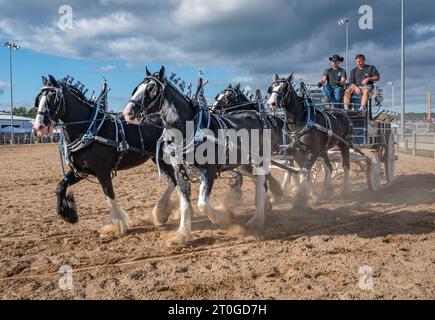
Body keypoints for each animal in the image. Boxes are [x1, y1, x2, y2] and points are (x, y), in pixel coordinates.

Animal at [31, 75, 179, 235]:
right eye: (38, 100)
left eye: (53, 98)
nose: (38, 127)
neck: (88, 129)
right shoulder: (81, 170)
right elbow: (60, 186)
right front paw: (69, 215)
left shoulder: (102, 171)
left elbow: (109, 196)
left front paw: (116, 226)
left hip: (163, 159)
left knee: (174, 180)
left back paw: (162, 212)